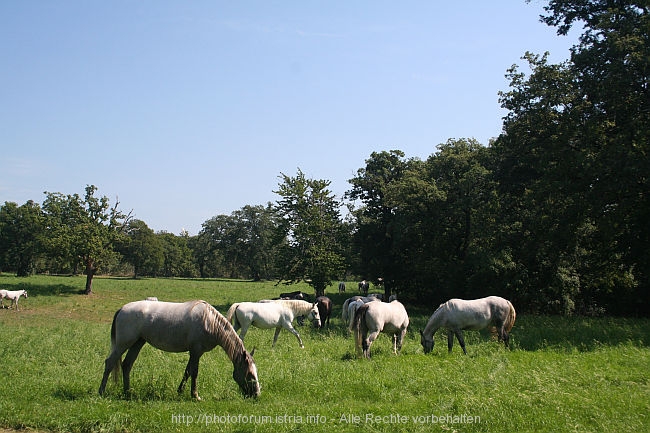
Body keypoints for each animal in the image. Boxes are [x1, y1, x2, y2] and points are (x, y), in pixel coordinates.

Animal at [97, 300, 260, 398]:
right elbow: (194, 372)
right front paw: (195, 395)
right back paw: (101, 391)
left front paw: (180, 391)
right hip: (123, 344)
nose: (257, 394)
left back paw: (128, 392)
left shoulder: (194, 353)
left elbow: (187, 371)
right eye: (249, 374)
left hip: (137, 343)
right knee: (110, 363)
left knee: (126, 365)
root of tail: (122, 309)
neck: (209, 322)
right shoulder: (196, 351)